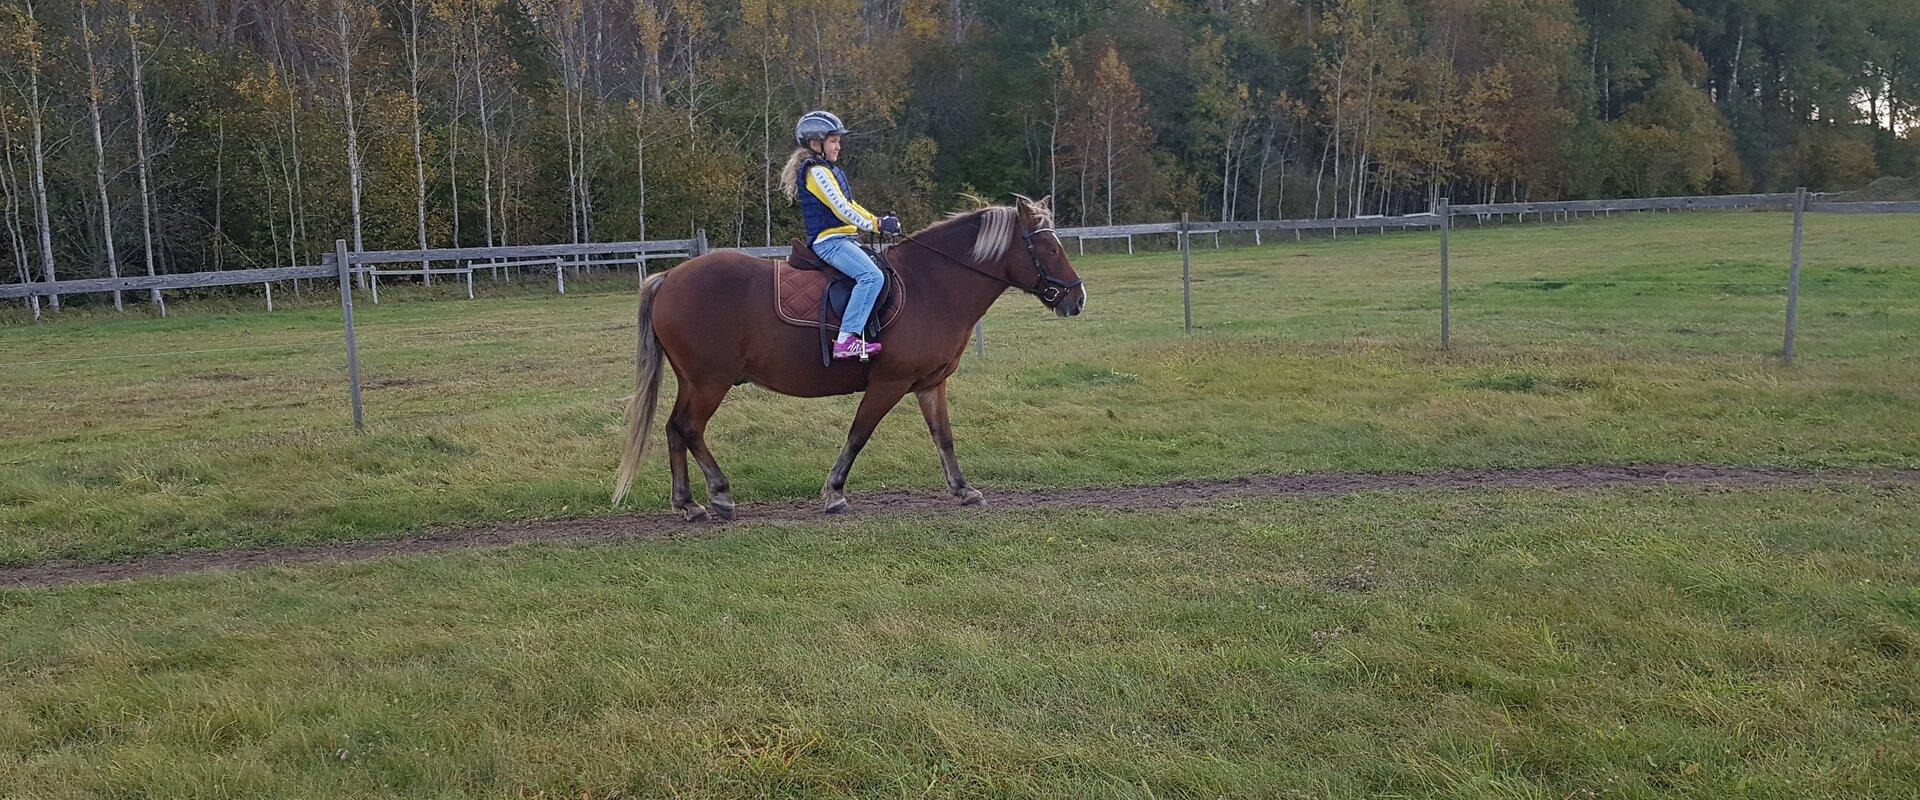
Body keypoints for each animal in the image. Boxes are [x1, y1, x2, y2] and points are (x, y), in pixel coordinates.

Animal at [614, 194, 1082, 517]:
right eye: (1050, 249)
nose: (1077, 299)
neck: (932, 285)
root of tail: (670, 277)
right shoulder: (888, 384)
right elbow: (859, 434)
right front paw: (834, 491)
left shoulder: (930, 385)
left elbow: (943, 437)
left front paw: (963, 489)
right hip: (710, 382)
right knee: (689, 429)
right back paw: (720, 493)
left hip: (694, 382)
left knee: (674, 429)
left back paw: (688, 503)